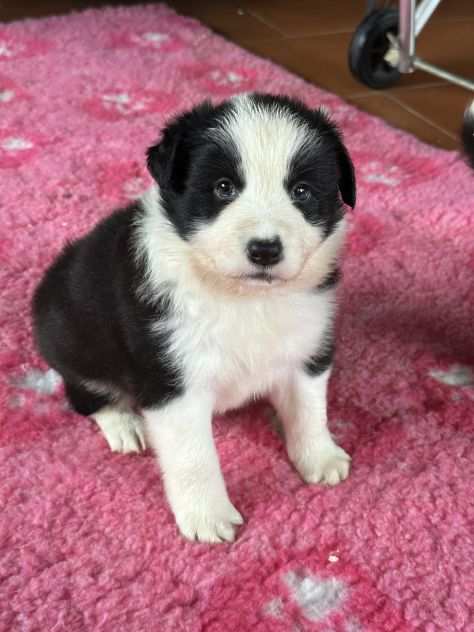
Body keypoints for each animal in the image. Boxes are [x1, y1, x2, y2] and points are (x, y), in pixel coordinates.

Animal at [34, 92, 356, 544]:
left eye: (302, 191)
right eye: (223, 188)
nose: (265, 249)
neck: (245, 298)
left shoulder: (309, 345)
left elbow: (310, 407)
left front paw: (319, 455)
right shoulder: (171, 380)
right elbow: (194, 456)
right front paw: (208, 516)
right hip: (76, 342)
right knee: (83, 395)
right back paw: (123, 425)